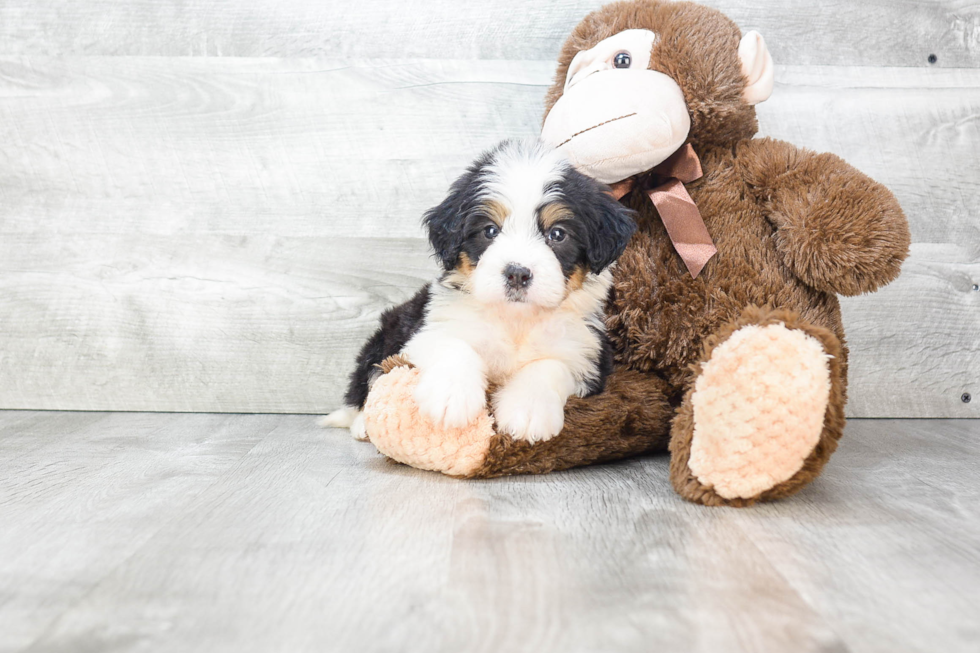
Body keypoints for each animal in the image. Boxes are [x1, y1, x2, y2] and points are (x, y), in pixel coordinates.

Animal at [324, 138, 636, 444]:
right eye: (490, 231)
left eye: (557, 234)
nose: (517, 273)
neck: (516, 320)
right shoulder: (426, 329)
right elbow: (454, 345)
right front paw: (450, 396)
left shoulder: (588, 355)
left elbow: (549, 365)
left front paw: (528, 410)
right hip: (385, 337)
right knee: (365, 385)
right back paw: (362, 424)